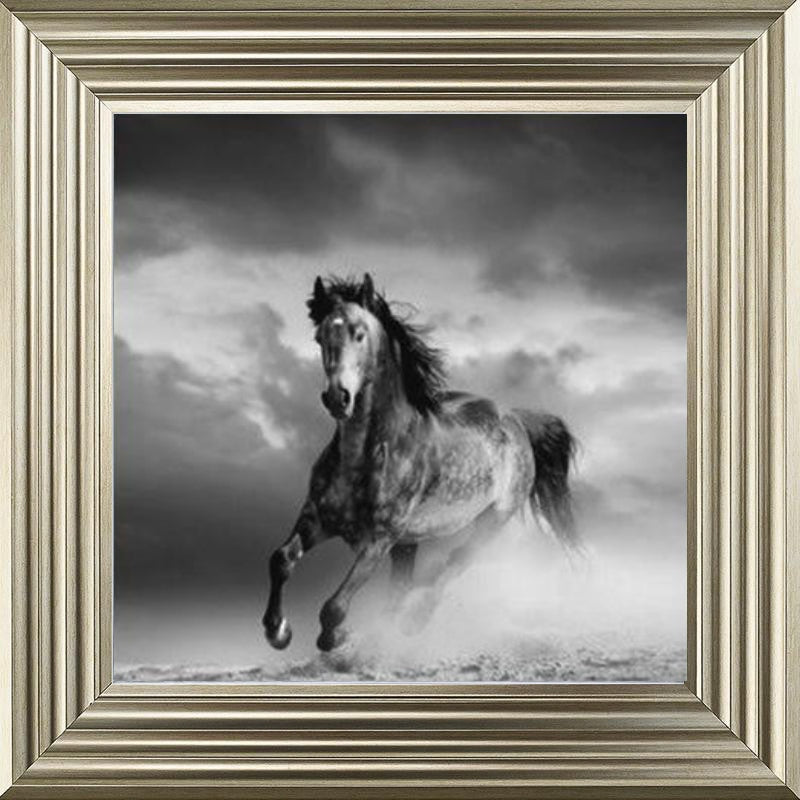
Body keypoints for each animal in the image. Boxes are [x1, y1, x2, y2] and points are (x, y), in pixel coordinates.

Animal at [262, 273, 581, 652]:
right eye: (319, 337)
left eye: (359, 333)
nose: (337, 398)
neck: (364, 454)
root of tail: (516, 419)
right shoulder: (317, 519)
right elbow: (281, 559)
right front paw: (278, 631)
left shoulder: (379, 538)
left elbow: (334, 606)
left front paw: (334, 637)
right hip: (408, 543)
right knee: (402, 587)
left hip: (492, 520)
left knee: (454, 562)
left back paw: (413, 621)